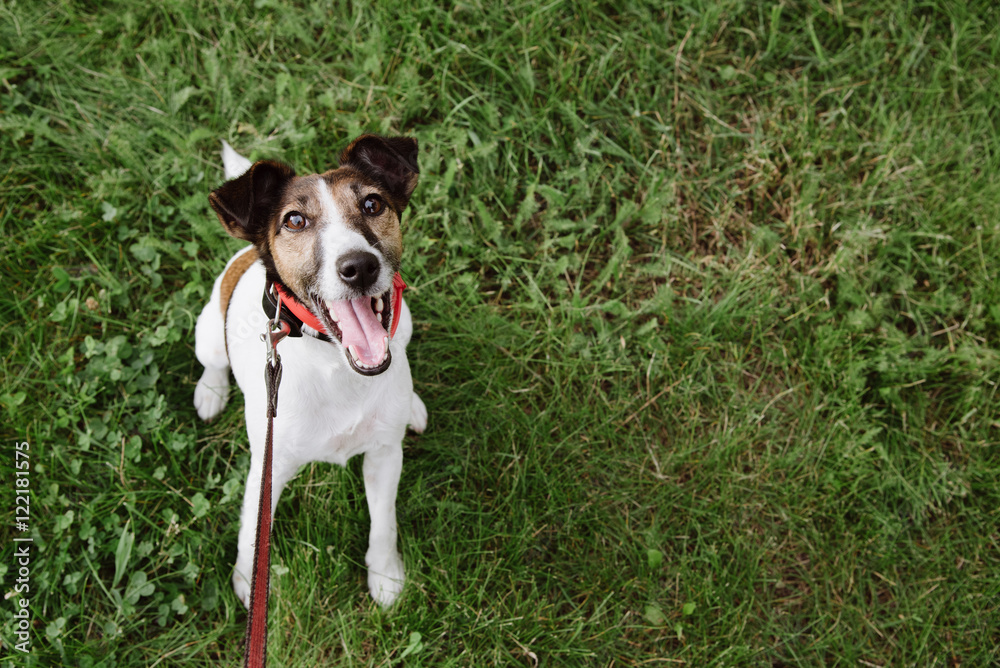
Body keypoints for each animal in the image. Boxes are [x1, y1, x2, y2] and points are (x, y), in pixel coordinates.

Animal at [193, 136, 428, 612]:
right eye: (295, 220)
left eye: (373, 203)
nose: (359, 266)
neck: (335, 363)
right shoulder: (269, 467)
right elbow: (253, 533)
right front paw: (249, 582)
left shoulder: (384, 455)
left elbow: (384, 523)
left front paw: (385, 575)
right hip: (207, 332)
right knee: (213, 362)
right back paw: (210, 391)